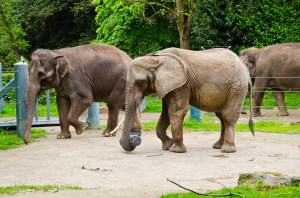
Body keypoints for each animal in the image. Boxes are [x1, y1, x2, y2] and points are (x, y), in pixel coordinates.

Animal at [119, 47, 253, 153]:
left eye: (140, 82)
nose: (134, 139)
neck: (155, 58)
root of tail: (244, 68)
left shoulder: (183, 84)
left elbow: (176, 112)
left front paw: (176, 150)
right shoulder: (168, 86)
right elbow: (166, 113)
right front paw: (168, 145)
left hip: (237, 87)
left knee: (228, 116)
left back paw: (227, 150)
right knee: (221, 117)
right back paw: (218, 146)